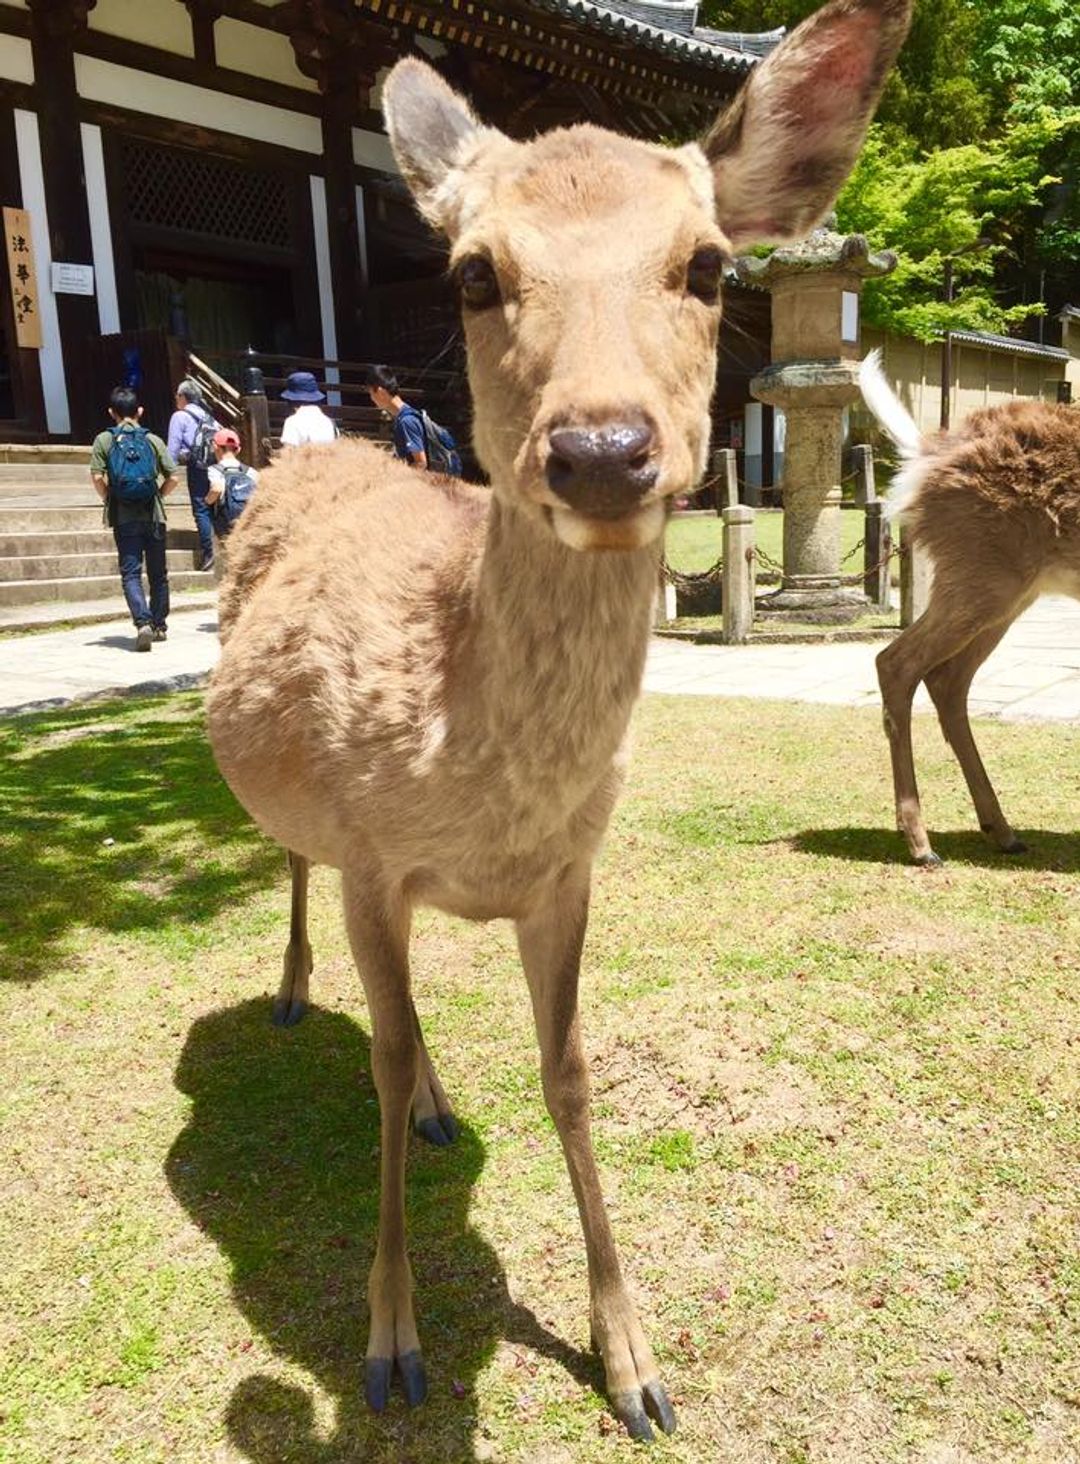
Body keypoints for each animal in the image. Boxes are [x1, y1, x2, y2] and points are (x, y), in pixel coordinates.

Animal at [860, 346, 1077, 860]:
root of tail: (922, 457)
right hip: (983, 576)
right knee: (897, 662)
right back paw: (922, 844)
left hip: (1005, 591)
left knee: (946, 679)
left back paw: (1002, 831)